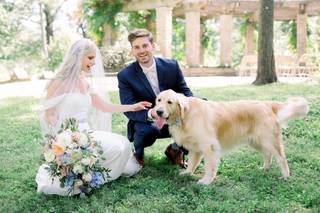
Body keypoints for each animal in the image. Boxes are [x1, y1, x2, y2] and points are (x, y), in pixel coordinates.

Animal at [154, 89, 308, 184]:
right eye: (158, 100)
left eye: (170, 102)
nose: (158, 112)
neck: (185, 115)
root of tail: (266, 104)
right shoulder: (195, 148)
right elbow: (192, 163)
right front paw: (187, 173)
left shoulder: (209, 146)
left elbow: (209, 166)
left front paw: (206, 181)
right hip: (257, 141)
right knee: (267, 154)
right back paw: (264, 168)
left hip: (269, 139)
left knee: (281, 157)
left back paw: (286, 176)